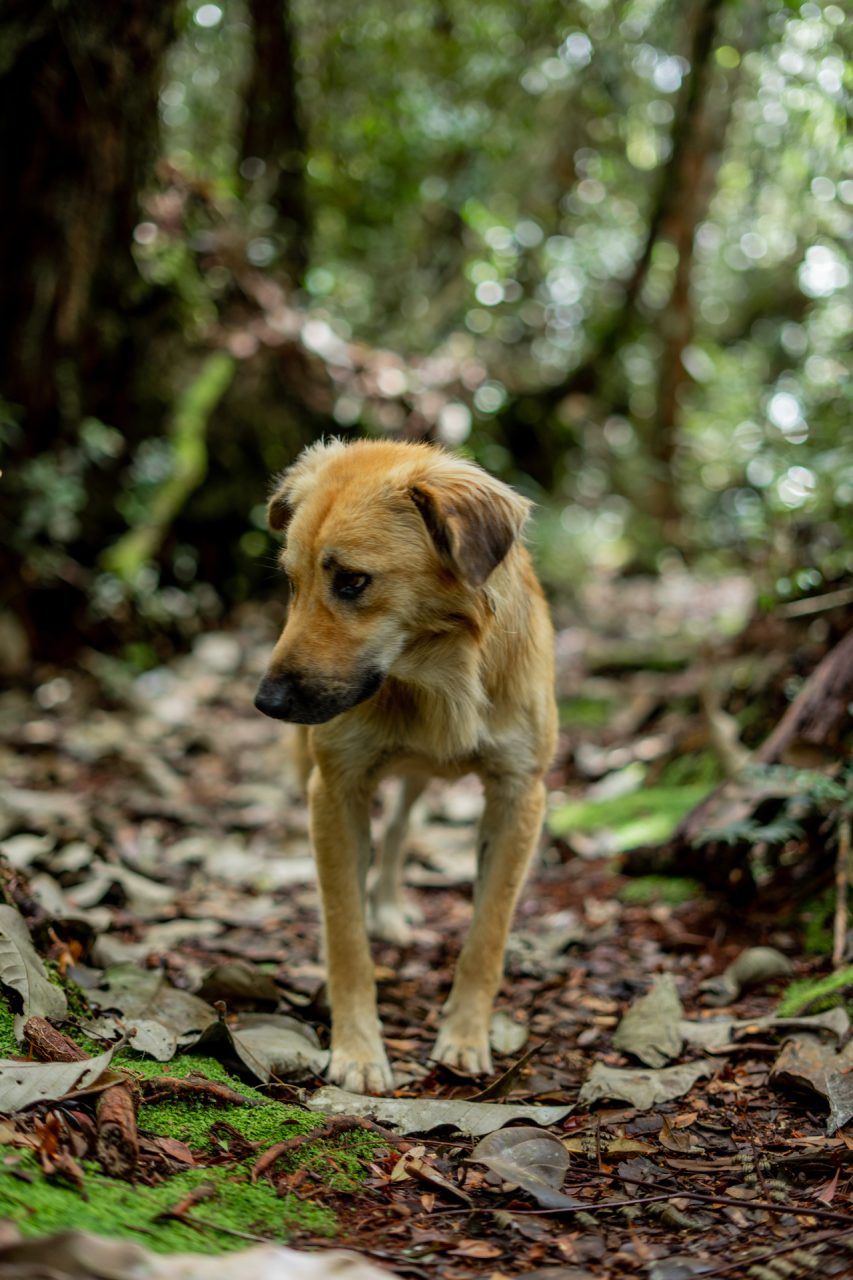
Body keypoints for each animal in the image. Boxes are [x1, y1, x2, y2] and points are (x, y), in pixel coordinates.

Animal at [252, 437, 558, 1090]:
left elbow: (487, 933)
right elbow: (344, 934)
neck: (434, 675)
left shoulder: (520, 794)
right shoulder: (335, 788)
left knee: (398, 826)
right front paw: (358, 1050)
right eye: (291, 582)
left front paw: (464, 1037)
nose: (267, 703)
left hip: (418, 778)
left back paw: (391, 907)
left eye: (352, 581)